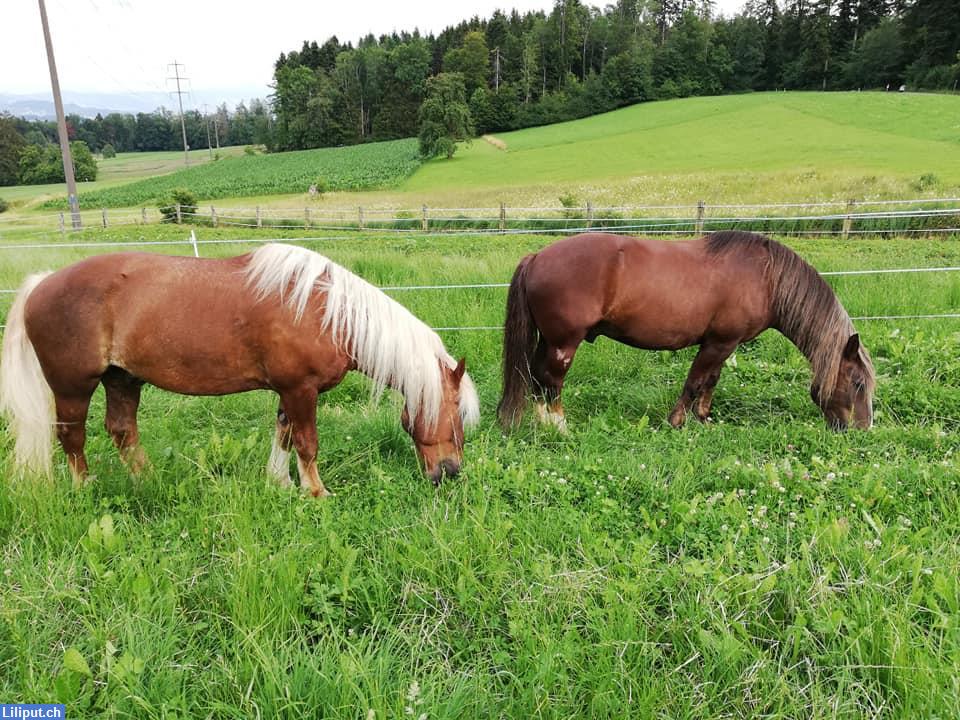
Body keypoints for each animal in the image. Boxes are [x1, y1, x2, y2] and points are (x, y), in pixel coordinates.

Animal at [0, 245, 480, 492]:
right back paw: (85, 488)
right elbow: (307, 444)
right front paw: (316, 493)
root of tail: (42, 283)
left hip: (123, 379)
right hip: (73, 387)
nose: (450, 473)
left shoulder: (288, 392)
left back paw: (147, 480)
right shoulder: (301, 390)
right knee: (72, 438)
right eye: (456, 413)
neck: (327, 311)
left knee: (121, 431)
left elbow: (284, 436)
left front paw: (281, 483)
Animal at [498, 231, 872, 430]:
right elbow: (694, 381)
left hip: (548, 340)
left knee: (535, 376)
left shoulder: (725, 345)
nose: (863, 428)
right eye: (857, 383)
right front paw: (677, 421)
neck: (766, 277)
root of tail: (537, 256)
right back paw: (560, 427)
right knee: (552, 381)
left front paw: (703, 418)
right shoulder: (718, 343)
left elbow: (710, 381)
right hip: (564, 343)